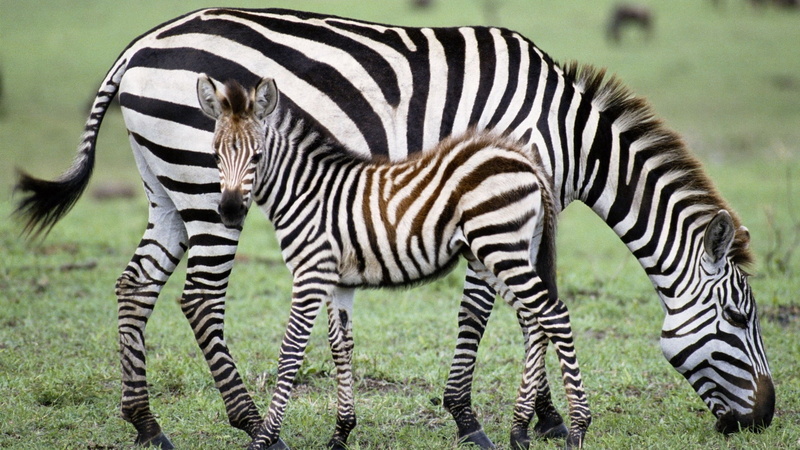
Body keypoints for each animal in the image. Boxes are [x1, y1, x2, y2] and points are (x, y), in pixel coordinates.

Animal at [196, 74, 585, 449]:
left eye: (257, 156)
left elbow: (291, 350)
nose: (229, 212)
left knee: (553, 314)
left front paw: (265, 438)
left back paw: (578, 428)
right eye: (214, 155)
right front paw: (341, 433)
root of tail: (526, 161)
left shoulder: (311, 274)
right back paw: (519, 432)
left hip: (500, 246)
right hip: (498, 253)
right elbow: (341, 347)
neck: (305, 193)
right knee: (535, 320)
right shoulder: (339, 282)